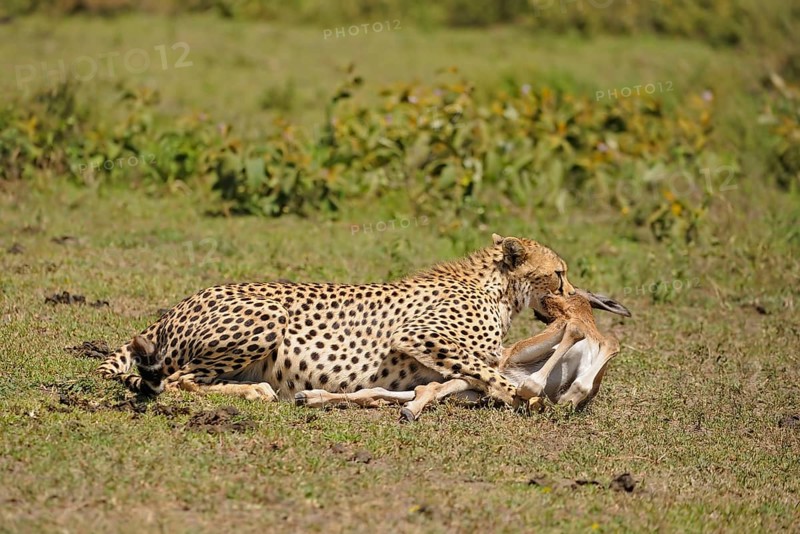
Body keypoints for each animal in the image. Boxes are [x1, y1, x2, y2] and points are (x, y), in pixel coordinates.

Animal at [98, 233, 577, 406]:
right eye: (559, 273)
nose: (579, 295)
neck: (497, 289)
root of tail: (179, 304)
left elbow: (475, 373)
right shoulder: (417, 335)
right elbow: (486, 370)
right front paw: (524, 395)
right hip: (269, 316)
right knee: (180, 380)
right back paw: (254, 390)